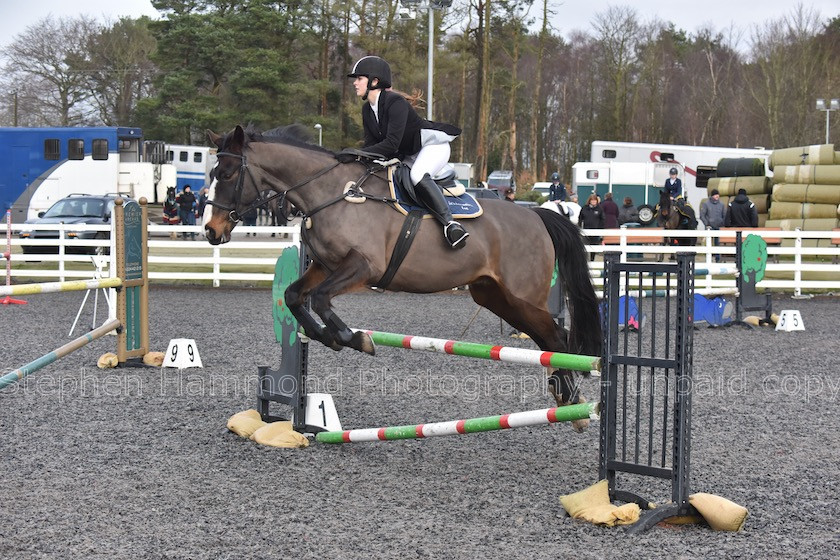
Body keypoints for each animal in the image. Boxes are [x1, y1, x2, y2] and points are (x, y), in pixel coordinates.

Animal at [205, 123, 604, 428]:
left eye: (226, 174)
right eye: (210, 175)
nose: (211, 231)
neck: (330, 193)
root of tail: (537, 214)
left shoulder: (363, 266)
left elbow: (319, 299)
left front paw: (354, 338)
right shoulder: (325, 266)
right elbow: (294, 296)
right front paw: (326, 336)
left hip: (522, 296)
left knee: (557, 335)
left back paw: (572, 401)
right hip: (495, 296)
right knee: (547, 339)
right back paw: (565, 398)